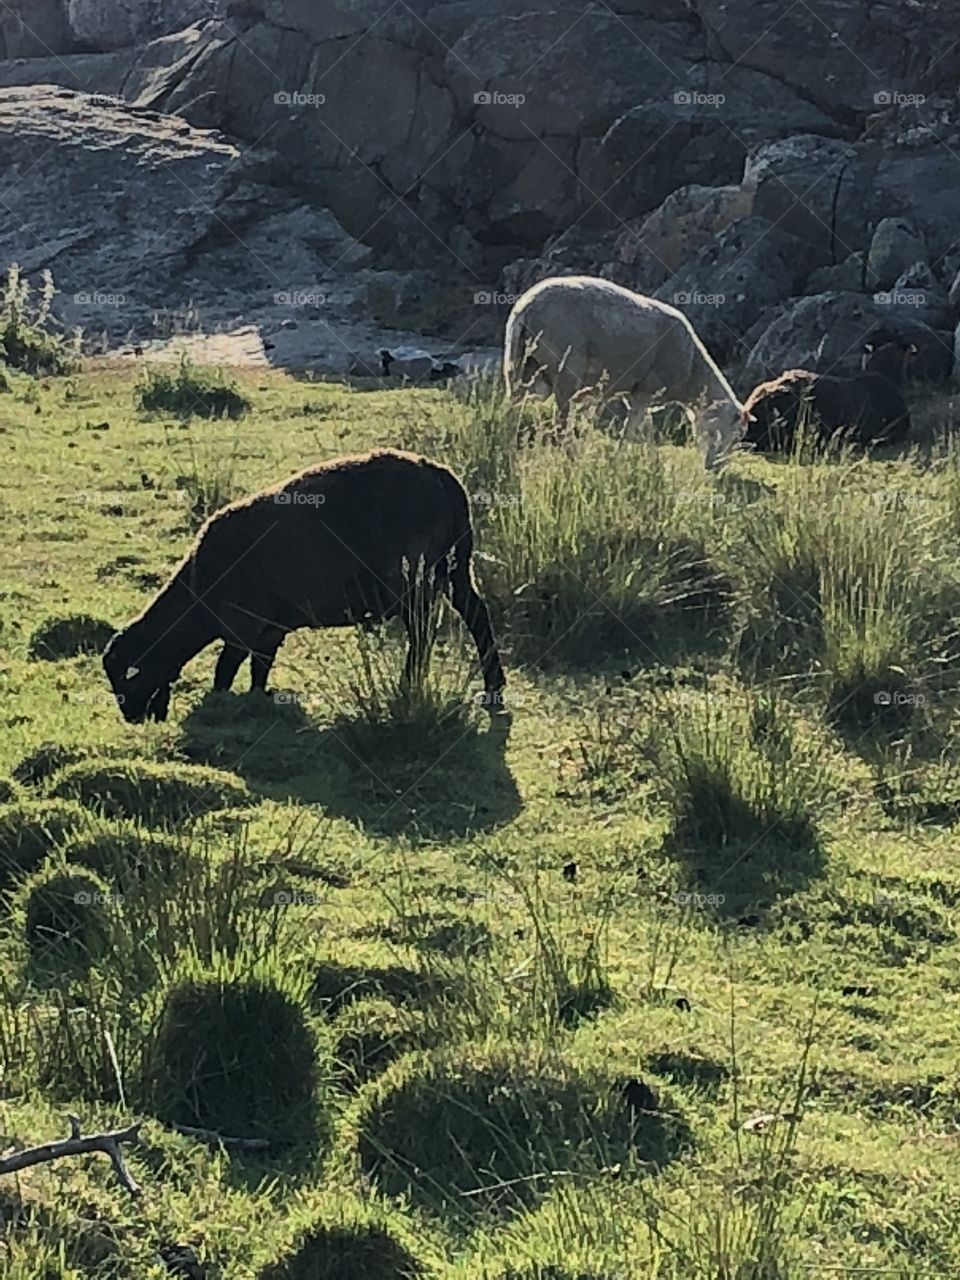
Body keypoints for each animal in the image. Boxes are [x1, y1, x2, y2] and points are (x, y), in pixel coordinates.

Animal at [102, 450, 506, 724]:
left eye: (129, 676)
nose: (132, 718)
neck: (198, 593)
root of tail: (444, 479)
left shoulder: (243, 625)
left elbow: (225, 668)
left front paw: (221, 703)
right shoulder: (270, 628)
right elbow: (259, 668)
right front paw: (257, 699)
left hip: (416, 579)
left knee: (422, 635)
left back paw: (411, 684)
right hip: (455, 568)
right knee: (476, 616)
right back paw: (493, 686)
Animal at [503, 275, 751, 468]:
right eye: (735, 433)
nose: (714, 468)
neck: (692, 373)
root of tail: (525, 308)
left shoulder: (636, 392)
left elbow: (646, 429)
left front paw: (654, 463)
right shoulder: (646, 389)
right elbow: (630, 430)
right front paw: (618, 461)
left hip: (522, 365)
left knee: (513, 407)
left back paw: (507, 444)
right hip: (567, 368)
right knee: (561, 423)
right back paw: (574, 457)